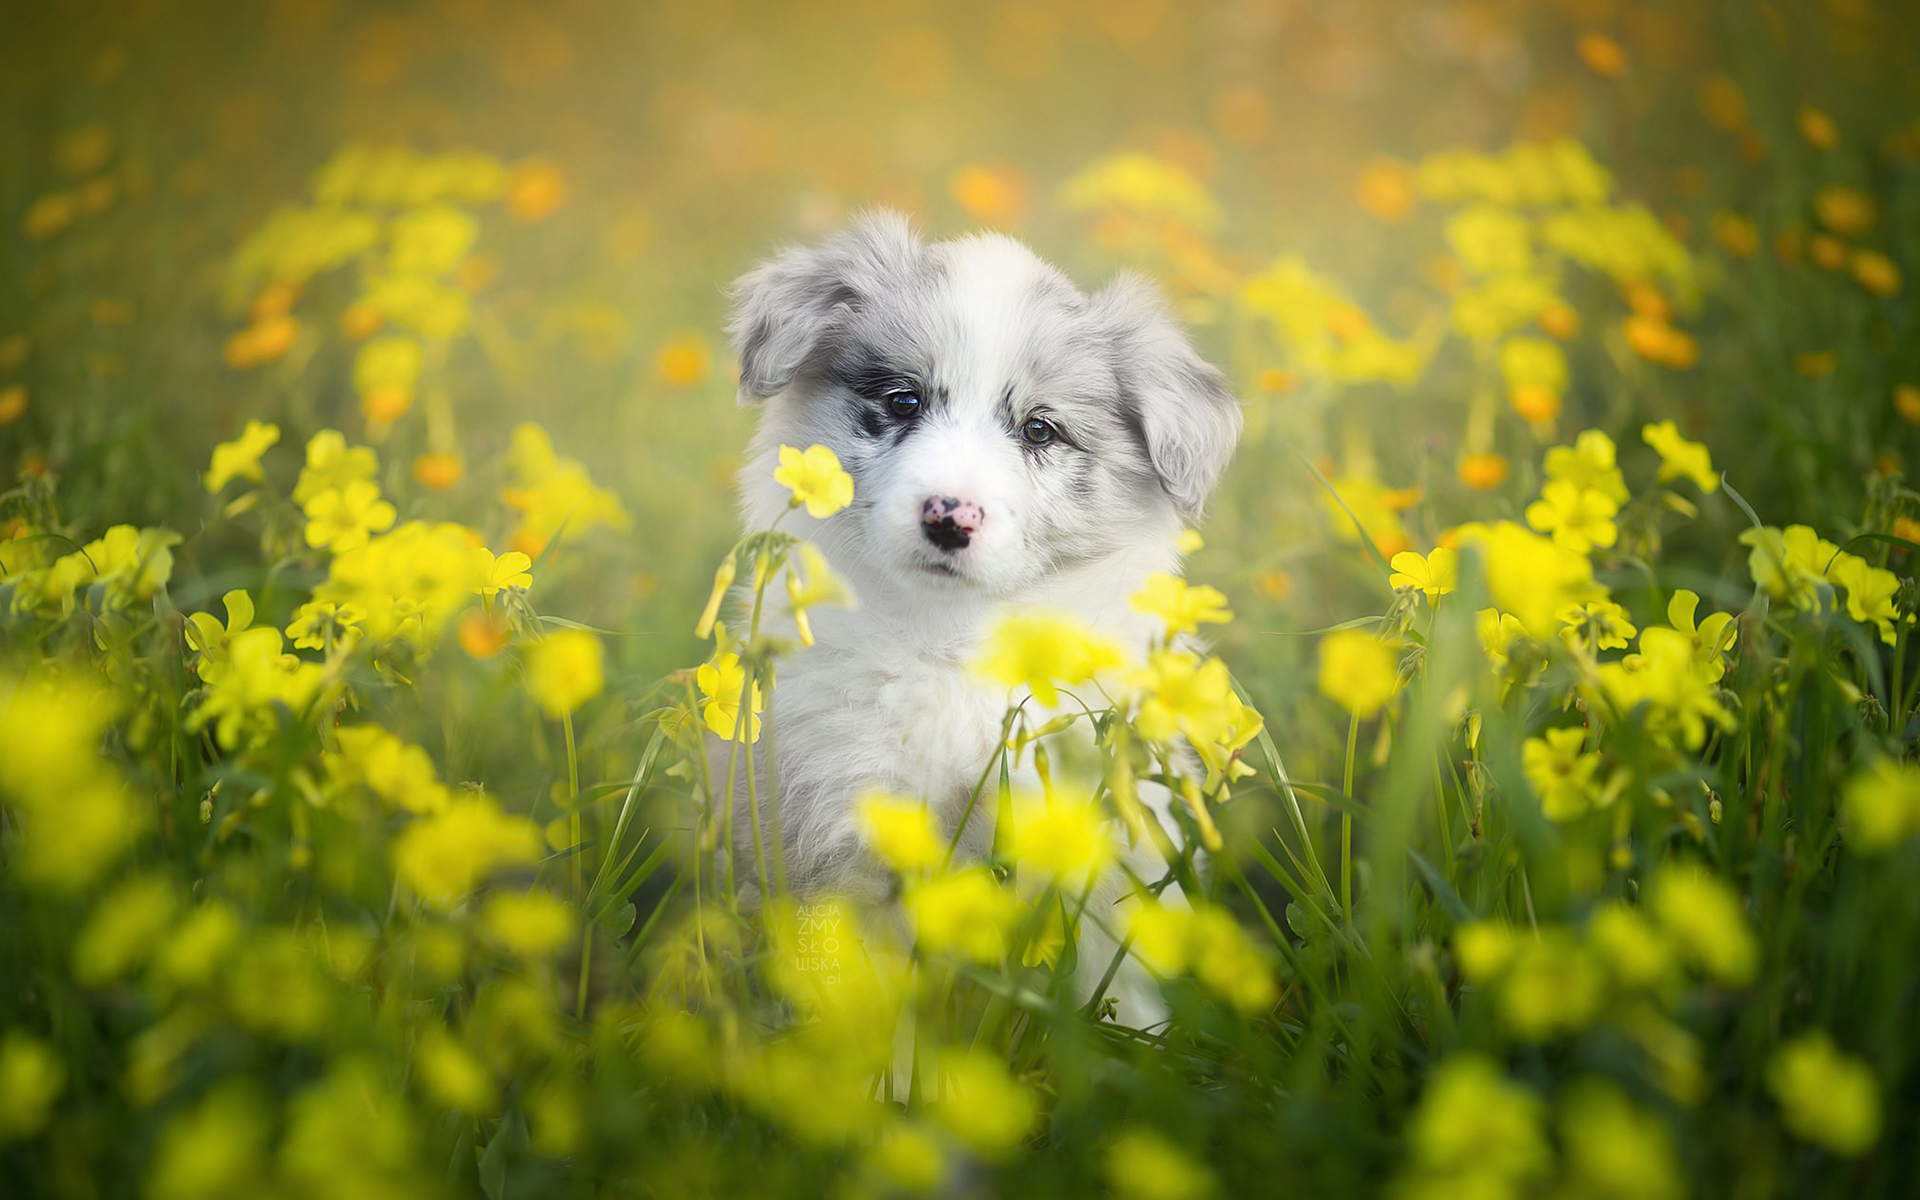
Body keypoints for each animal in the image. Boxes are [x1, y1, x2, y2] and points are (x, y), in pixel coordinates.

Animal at [721, 210, 1244, 1013]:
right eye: (903, 400)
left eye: (1039, 430)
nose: (949, 516)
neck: (954, 641)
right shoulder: (841, 837)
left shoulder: (1109, 836)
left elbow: (1123, 990)